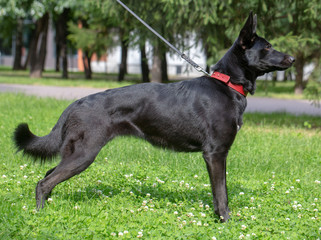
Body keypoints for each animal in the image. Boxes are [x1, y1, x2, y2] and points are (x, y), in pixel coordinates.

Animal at [13, 12, 292, 221]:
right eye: (268, 47)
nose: (292, 57)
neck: (227, 84)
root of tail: (74, 104)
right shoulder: (215, 153)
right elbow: (221, 194)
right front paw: (226, 221)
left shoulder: (218, 155)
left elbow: (219, 192)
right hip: (84, 154)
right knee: (43, 183)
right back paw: (40, 214)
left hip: (75, 154)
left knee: (48, 175)